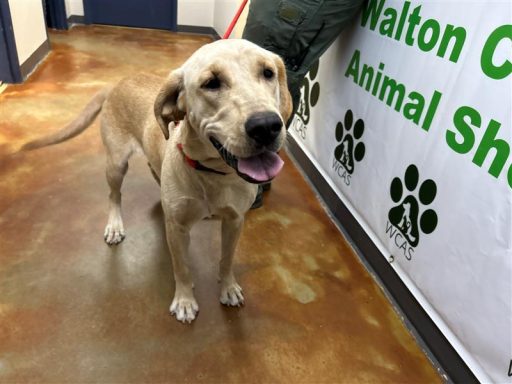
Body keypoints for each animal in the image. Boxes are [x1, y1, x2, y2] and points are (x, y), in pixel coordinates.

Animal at [22, 40, 292, 324]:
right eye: (211, 83)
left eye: (268, 73)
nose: (266, 125)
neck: (212, 173)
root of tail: (118, 82)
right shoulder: (177, 228)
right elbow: (181, 267)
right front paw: (184, 300)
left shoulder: (234, 221)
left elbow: (227, 259)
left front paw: (228, 287)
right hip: (116, 165)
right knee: (114, 195)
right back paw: (115, 225)